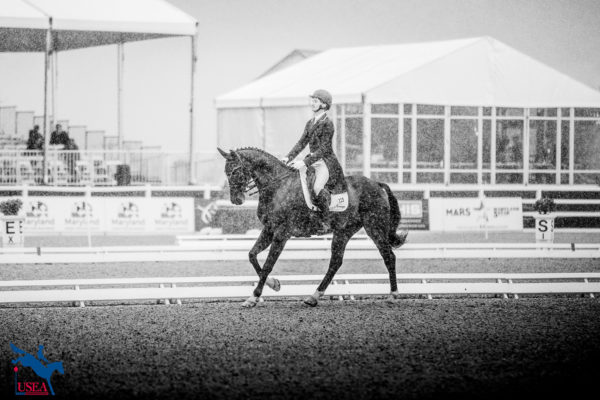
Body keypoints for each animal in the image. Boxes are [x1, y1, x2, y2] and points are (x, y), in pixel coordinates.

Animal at [218, 147, 410, 306]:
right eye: (226, 172)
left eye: (235, 170)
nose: (236, 200)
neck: (278, 186)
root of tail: (377, 184)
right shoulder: (269, 229)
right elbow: (252, 255)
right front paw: (274, 284)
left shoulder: (282, 233)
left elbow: (267, 264)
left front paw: (253, 297)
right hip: (343, 231)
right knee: (335, 262)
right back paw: (313, 297)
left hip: (374, 227)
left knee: (388, 257)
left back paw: (393, 295)